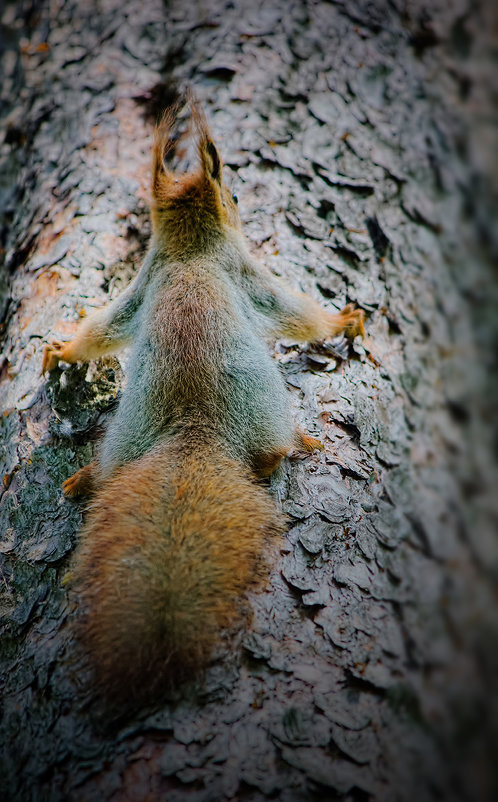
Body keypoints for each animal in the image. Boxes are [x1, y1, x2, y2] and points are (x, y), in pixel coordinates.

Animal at [42, 95, 364, 708]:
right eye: (233, 197)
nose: (242, 207)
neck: (191, 249)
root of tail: (197, 433)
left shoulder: (142, 281)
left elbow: (104, 326)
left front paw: (62, 349)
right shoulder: (248, 271)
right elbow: (297, 314)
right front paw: (344, 321)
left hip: (128, 435)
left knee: (111, 466)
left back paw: (84, 479)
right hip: (266, 414)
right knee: (271, 453)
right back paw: (296, 443)